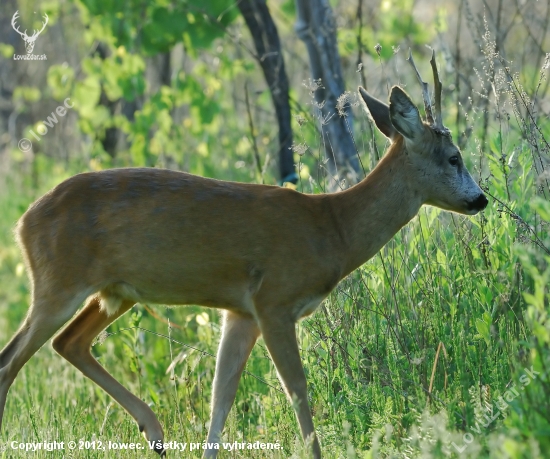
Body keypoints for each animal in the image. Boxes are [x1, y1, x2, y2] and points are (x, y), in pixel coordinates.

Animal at [0, 52, 490, 458]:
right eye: (454, 157)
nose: (481, 199)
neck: (331, 228)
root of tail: (23, 222)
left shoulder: (241, 312)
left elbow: (221, 399)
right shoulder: (274, 299)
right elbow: (297, 391)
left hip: (115, 292)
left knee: (69, 343)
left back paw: (154, 431)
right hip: (59, 282)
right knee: (11, 360)